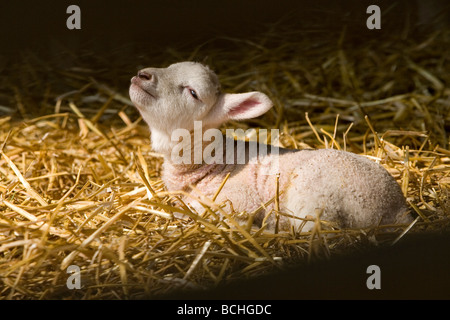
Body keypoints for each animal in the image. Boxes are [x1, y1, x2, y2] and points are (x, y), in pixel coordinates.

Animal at [129, 62, 412, 232]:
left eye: (193, 93)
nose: (142, 75)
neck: (211, 163)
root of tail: (398, 209)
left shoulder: (238, 199)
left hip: (317, 198)